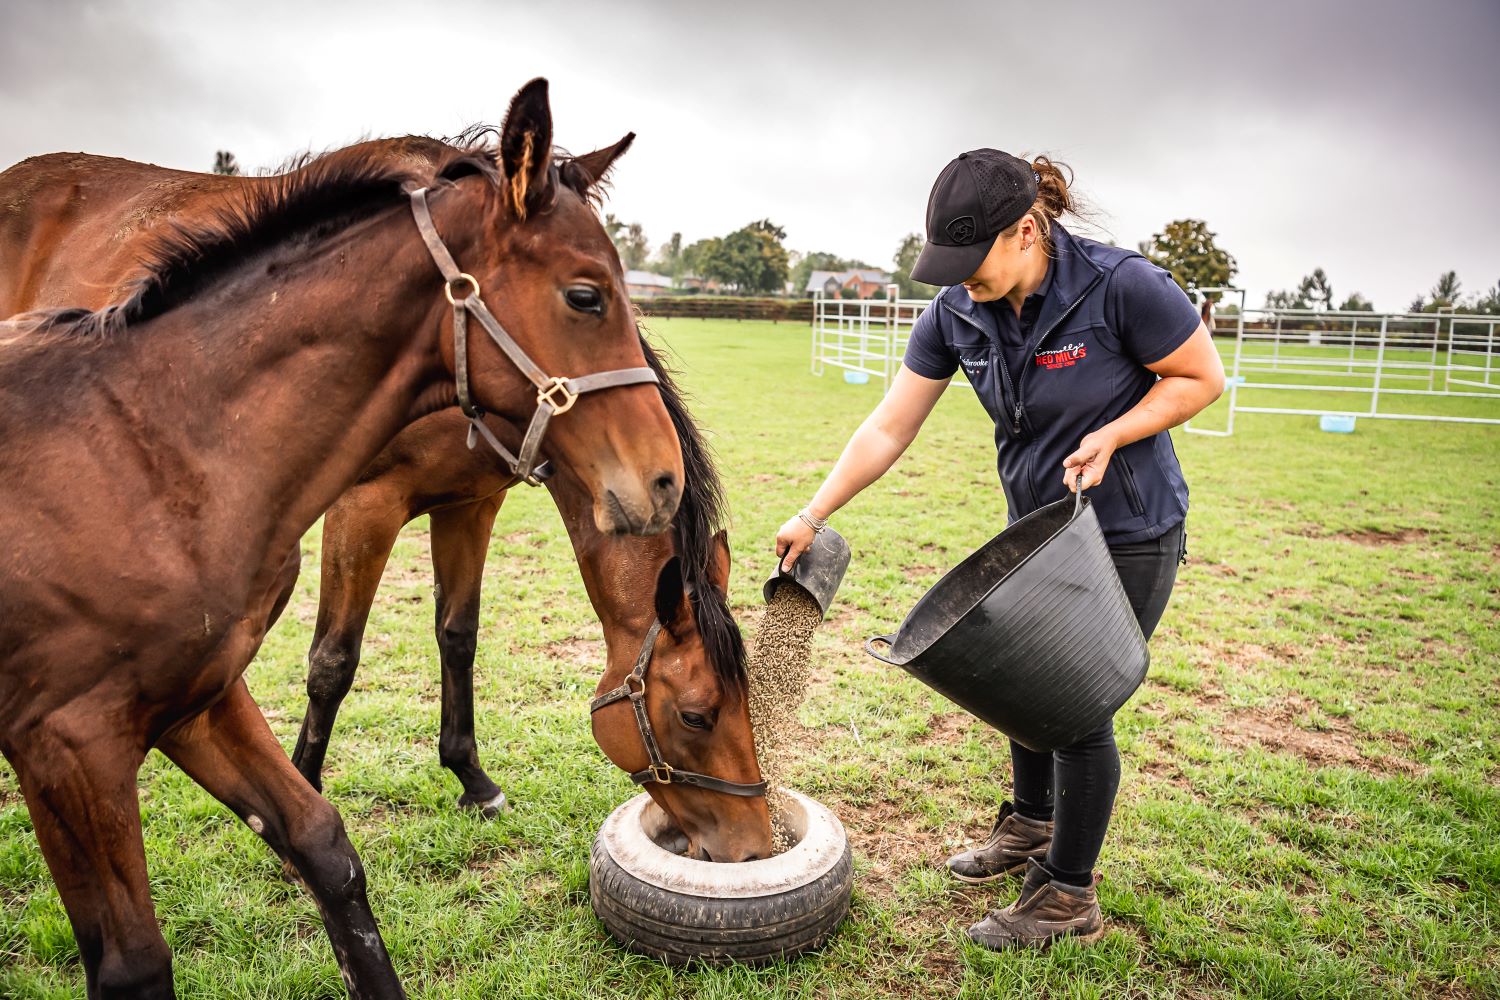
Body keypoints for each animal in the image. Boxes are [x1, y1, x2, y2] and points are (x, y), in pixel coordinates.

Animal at [0, 78, 683, 998]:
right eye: (586, 296)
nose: (662, 479)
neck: (158, 440)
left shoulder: (469, 503)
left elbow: (454, 639)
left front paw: (471, 778)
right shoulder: (74, 743)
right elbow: (333, 661)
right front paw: (318, 765)